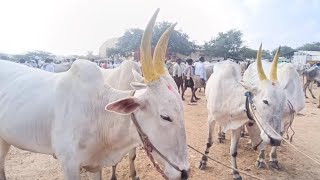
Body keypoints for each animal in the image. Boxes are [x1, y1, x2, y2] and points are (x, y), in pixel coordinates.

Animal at [0, 9, 190, 180]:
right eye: (165, 116)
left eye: (182, 111)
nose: (184, 173)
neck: (98, 112)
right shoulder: (69, 165)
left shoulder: (95, 165)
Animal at [200, 45, 288, 179]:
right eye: (265, 101)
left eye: (283, 102)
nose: (276, 140)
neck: (230, 98)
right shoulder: (211, 118)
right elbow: (209, 142)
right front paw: (203, 161)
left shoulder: (236, 125)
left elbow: (233, 151)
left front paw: (236, 172)